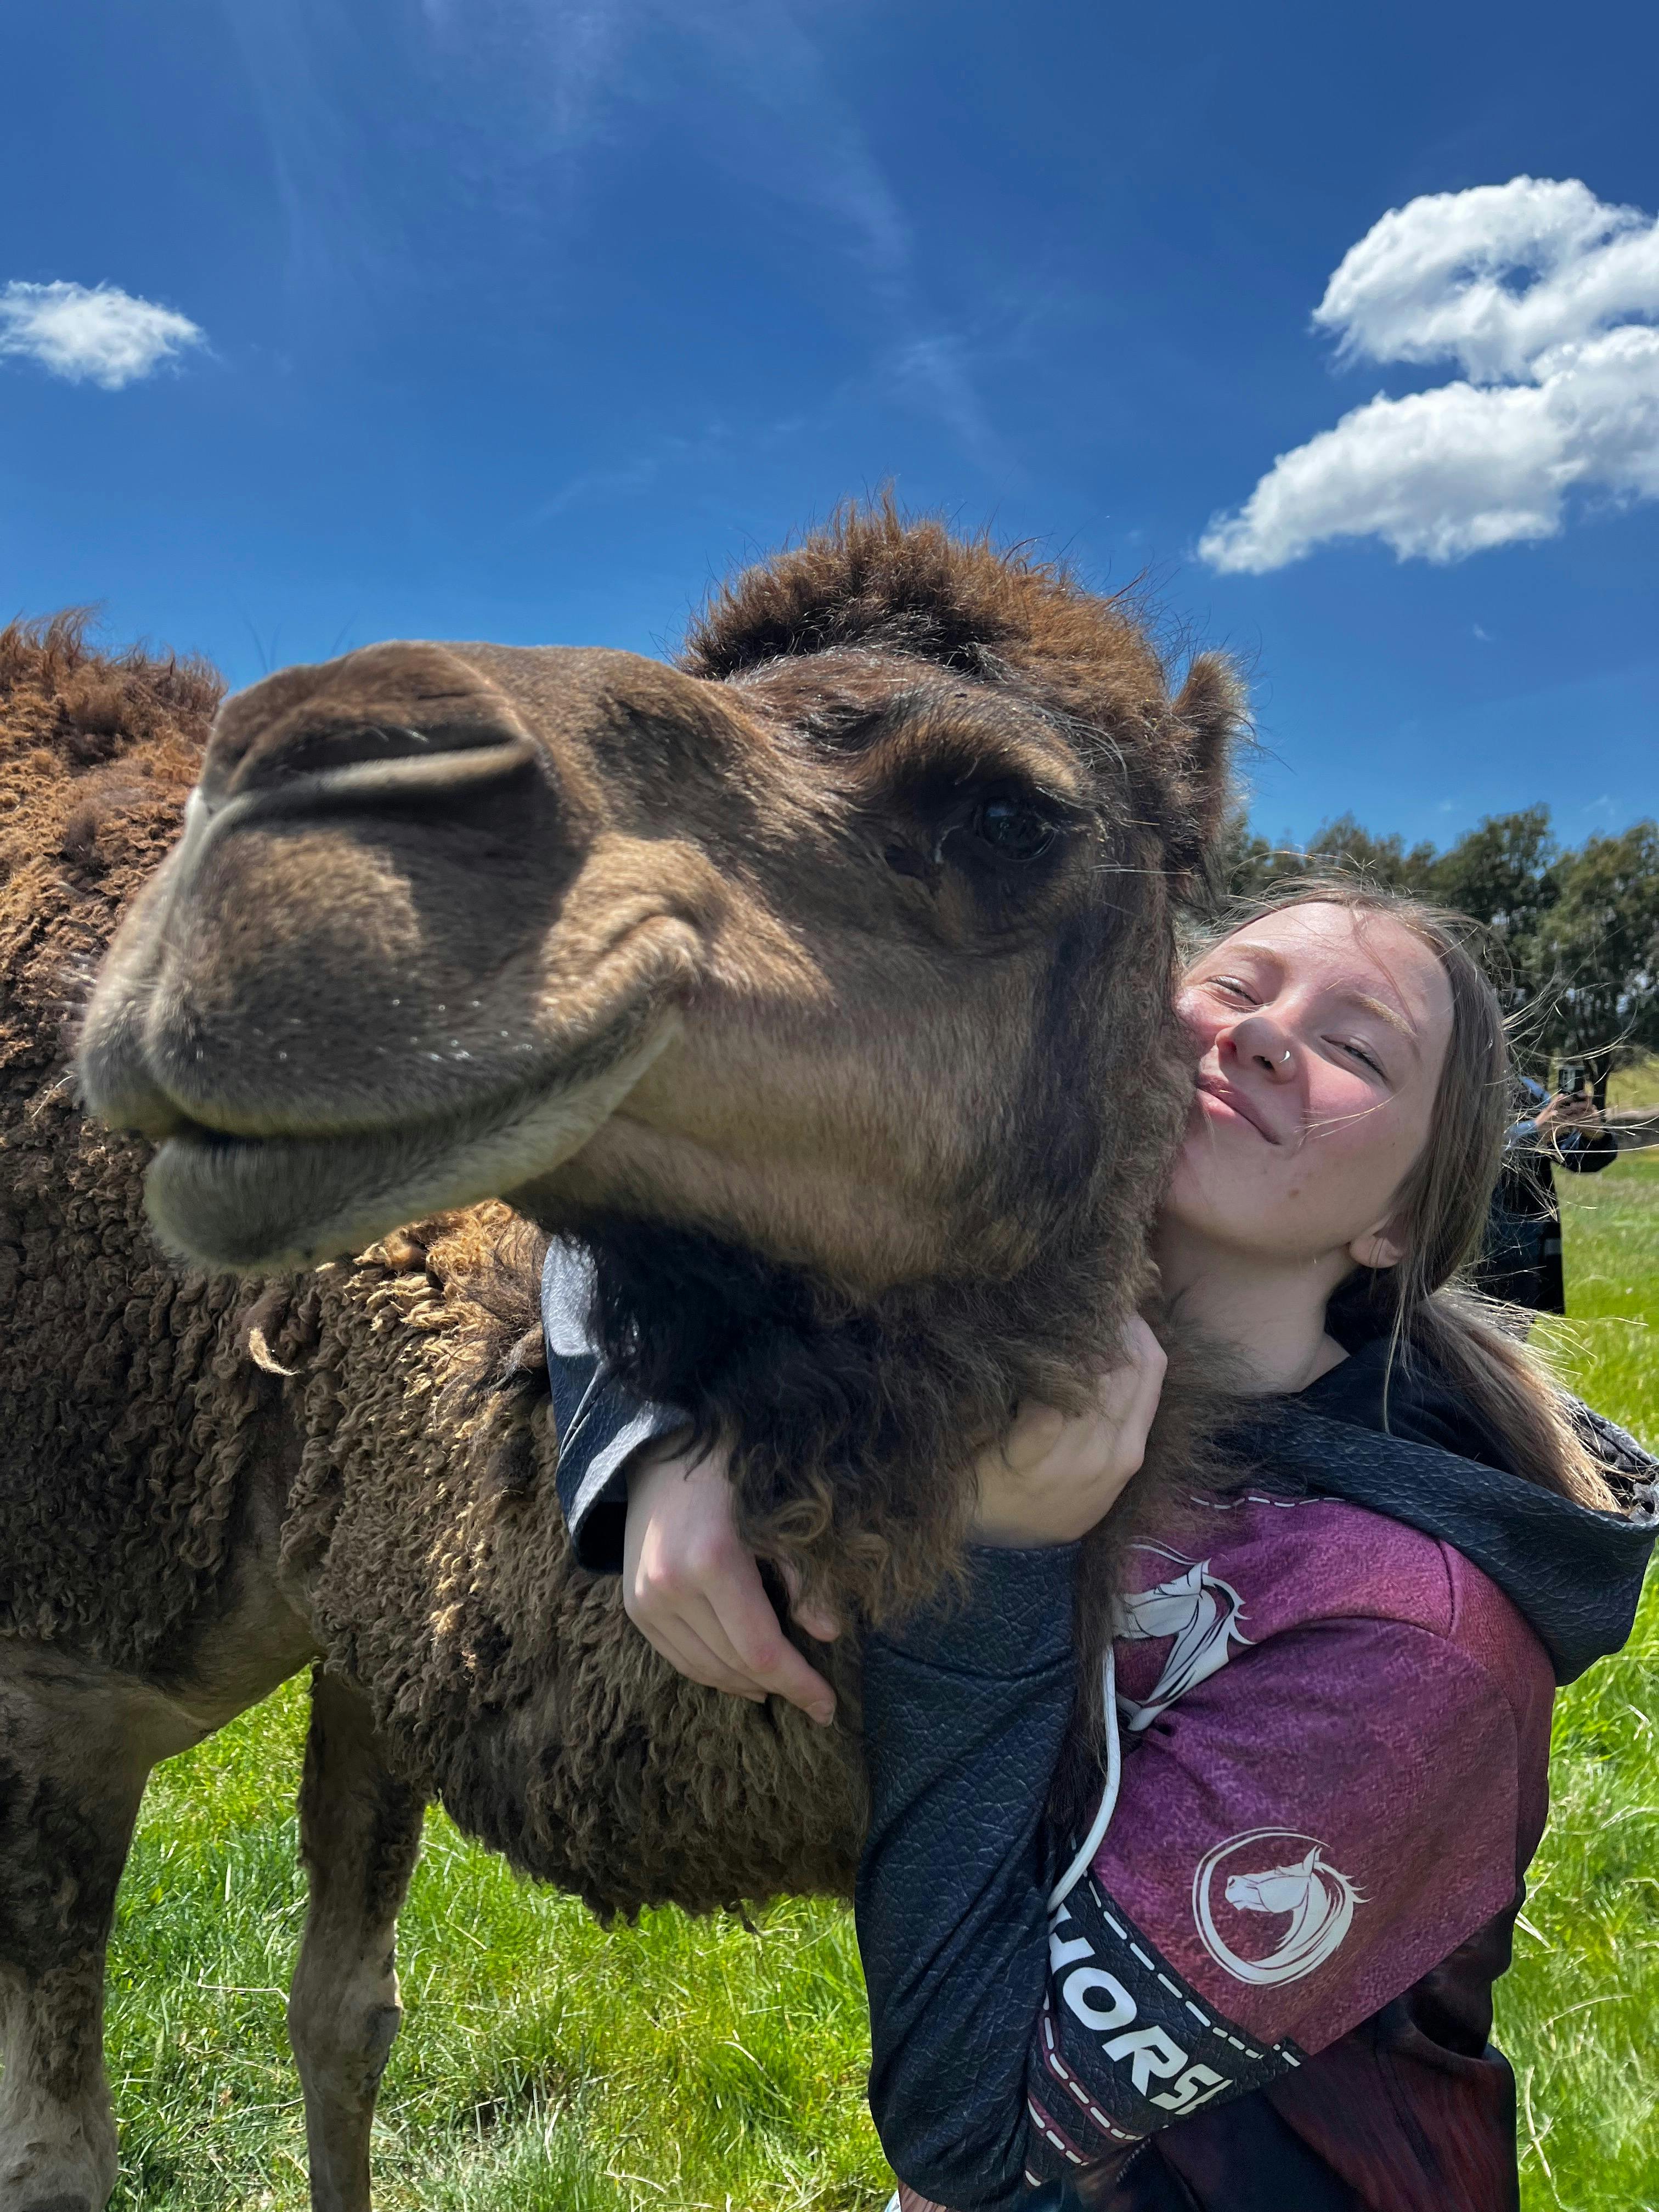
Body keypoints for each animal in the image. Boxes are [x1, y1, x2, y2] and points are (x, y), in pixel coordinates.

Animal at [2, 507, 1240, 2212]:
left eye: (1006, 814)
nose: (292, 795)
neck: (286, 1366)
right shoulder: (61, 1677)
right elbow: (61, 2151)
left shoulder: (363, 1630)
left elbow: (344, 2016)